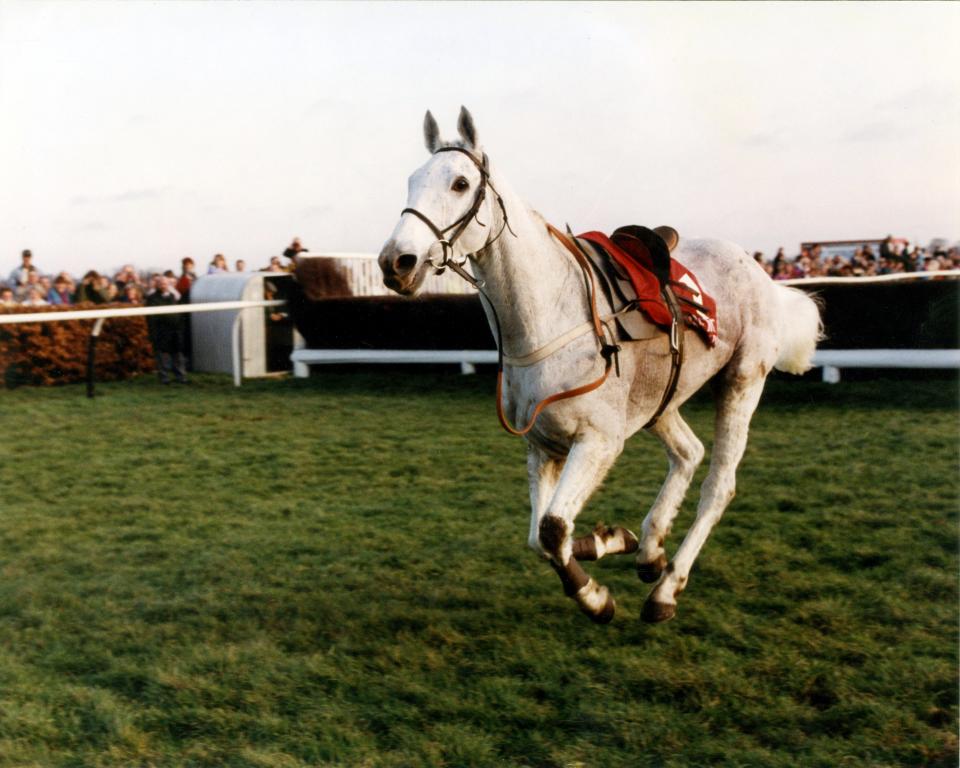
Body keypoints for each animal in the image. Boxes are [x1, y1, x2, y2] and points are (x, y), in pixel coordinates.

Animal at [378, 108, 820, 624]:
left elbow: (552, 530)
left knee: (718, 486)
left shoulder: (598, 441)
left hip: (741, 382)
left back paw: (666, 590)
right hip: (659, 403)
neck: (550, 318)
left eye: (460, 183)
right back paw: (648, 550)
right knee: (687, 454)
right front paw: (614, 539)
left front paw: (596, 598)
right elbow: (541, 537)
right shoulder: (543, 446)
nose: (395, 262)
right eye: (412, 180)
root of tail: (760, 274)